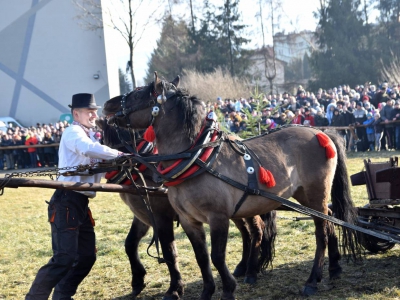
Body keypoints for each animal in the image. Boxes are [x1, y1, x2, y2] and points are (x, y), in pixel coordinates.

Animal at [97, 118, 278, 298]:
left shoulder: (161, 217)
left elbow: (169, 252)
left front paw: (174, 288)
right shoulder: (144, 216)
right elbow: (130, 243)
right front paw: (137, 281)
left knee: (257, 230)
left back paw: (251, 271)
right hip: (235, 210)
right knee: (245, 232)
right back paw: (242, 266)